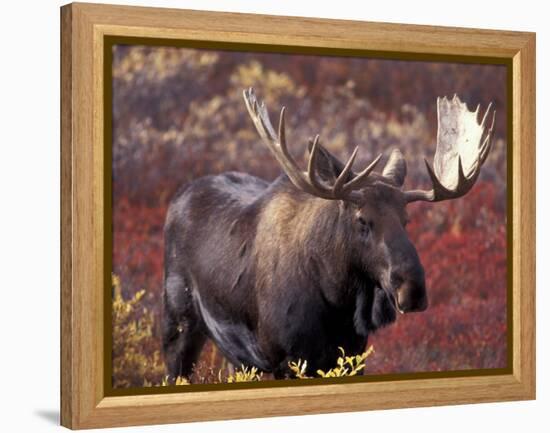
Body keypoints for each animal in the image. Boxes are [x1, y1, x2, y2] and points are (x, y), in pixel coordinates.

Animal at [162, 88, 498, 378]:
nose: (413, 289)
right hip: (178, 325)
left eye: (407, 220)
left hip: (239, 357)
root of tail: (178, 197)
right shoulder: (284, 358)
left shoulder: (351, 354)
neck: (338, 300)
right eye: (362, 220)